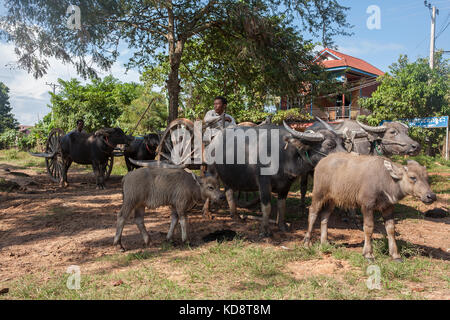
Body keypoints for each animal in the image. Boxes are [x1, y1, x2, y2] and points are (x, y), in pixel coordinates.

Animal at [304, 154, 434, 262]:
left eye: (427, 177)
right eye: (413, 177)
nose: (431, 196)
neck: (386, 181)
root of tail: (321, 162)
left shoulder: (388, 207)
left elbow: (391, 229)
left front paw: (395, 255)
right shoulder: (367, 205)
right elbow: (369, 228)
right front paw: (368, 254)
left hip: (332, 200)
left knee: (325, 216)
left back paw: (324, 242)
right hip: (318, 194)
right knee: (313, 212)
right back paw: (307, 243)